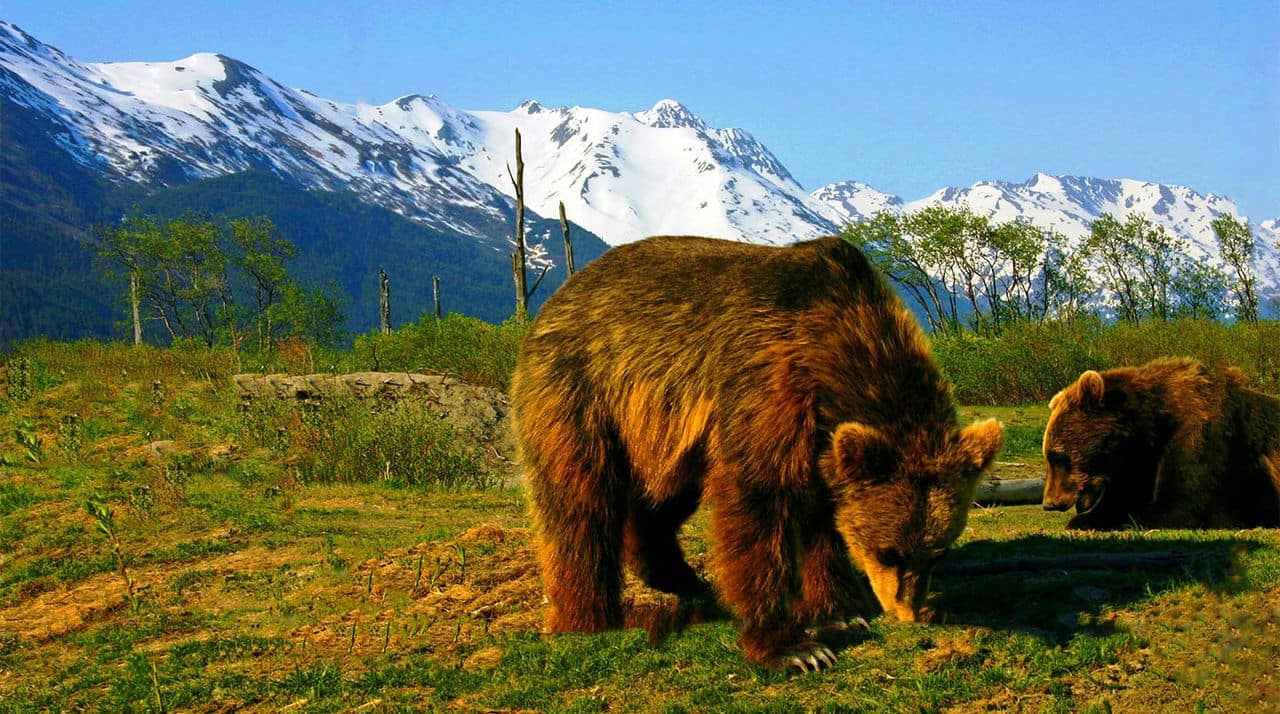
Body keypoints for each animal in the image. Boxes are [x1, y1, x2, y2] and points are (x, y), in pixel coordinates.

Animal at [510, 234, 1003, 671]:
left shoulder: (821, 443)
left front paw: (838, 610)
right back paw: (591, 616)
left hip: (664, 434)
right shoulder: (768, 384)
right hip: (581, 389)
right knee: (581, 503)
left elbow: (823, 521)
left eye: (937, 552)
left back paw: (681, 577)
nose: (908, 613)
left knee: (662, 500)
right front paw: (794, 648)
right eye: (888, 552)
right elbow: (759, 504)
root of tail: (556, 299)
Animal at [1042, 358, 1280, 529]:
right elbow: (1123, 496)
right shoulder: (1139, 460)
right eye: (1049, 457)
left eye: (1058, 456)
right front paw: (1086, 519)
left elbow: (1181, 504)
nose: (1050, 502)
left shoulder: (1200, 436)